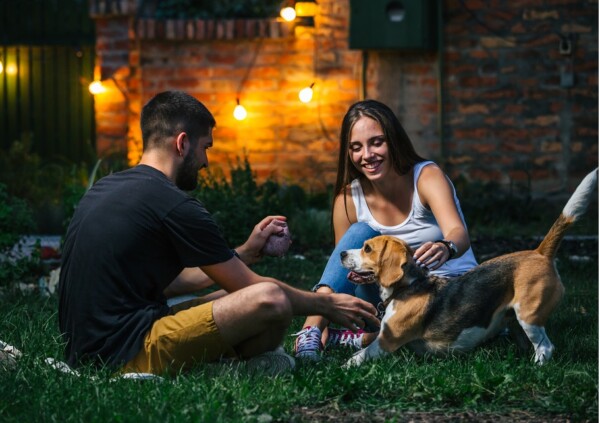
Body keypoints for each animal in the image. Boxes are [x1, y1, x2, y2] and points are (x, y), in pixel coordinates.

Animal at [340, 169, 596, 368]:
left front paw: (341, 368)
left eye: (367, 248)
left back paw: (536, 368)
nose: (341, 253)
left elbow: (357, 358)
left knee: (546, 347)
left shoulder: (386, 342)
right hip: (515, 319)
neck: (408, 286)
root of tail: (540, 252)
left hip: (529, 315)